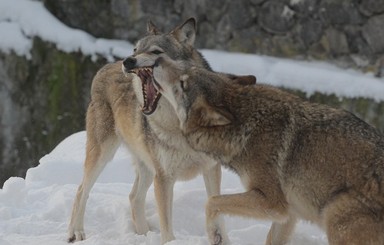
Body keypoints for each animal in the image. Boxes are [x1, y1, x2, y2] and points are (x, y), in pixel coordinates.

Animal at [68, 17, 255, 245]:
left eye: (156, 52)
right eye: (136, 49)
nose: (128, 61)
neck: (180, 124)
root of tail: (106, 66)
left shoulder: (211, 168)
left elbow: (217, 210)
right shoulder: (164, 177)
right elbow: (167, 227)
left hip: (147, 166)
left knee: (133, 197)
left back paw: (143, 235)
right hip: (105, 155)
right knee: (81, 190)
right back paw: (76, 233)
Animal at [150, 58, 384, 245]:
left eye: (183, 84)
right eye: (186, 67)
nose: (157, 60)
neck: (247, 126)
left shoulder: (272, 203)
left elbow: (212, 201)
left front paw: (216, 235)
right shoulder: (288, 214)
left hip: (335, 214)